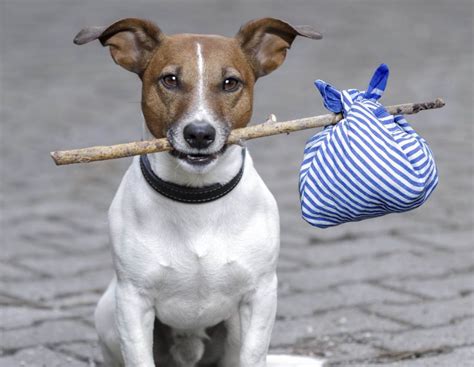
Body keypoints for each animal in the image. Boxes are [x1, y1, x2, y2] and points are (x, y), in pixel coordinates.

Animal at [75, 15, 322, 366]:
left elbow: (253, 354)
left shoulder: (260, 296)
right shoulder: (133, 302)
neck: (196, 197)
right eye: (170, 80)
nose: (200, 134)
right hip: (108, 313)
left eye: (230, 83)